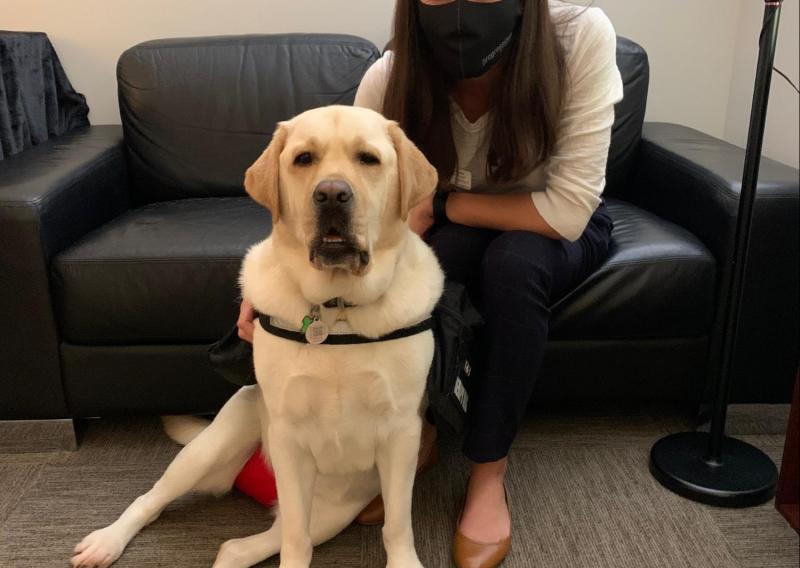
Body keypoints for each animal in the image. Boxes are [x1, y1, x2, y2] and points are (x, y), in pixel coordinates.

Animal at [70, 103, 444, 568]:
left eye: (368, 159)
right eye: (304, 158)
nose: (331, 194)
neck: (337, 308)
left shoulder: (401, 433)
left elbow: (396, 523)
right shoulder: (287, 436)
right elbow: (297, 542)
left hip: (332, 515)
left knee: (238, 547)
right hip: (212, 446)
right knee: (152, 499)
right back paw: (106, 541)